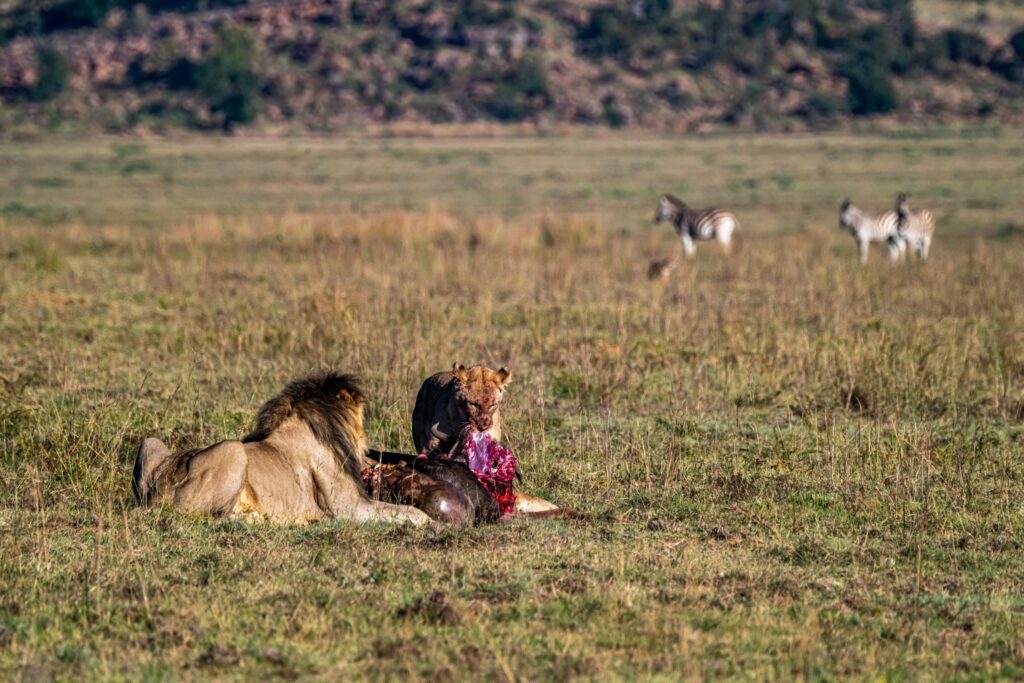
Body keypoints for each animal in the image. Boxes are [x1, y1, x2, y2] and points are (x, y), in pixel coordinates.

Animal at [131, 376, 428, 528]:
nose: (367, 449)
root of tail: (157, 496)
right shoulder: (349, 507)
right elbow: (408, 511)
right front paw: (433, 523)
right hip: (233, 449)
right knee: (211, 518)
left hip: (150, 443)